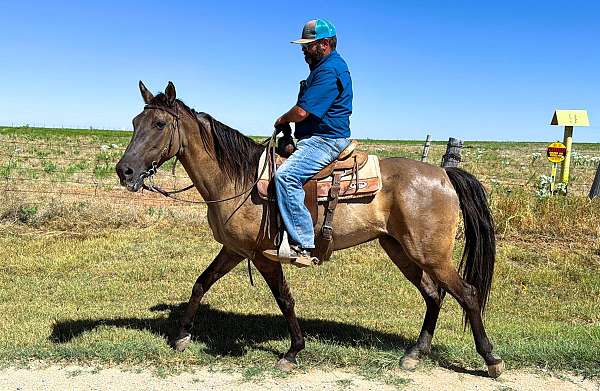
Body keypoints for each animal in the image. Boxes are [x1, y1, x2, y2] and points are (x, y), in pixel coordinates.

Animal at [115, 81, 504, 378]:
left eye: (160, 124)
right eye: (135, 121)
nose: (125, 171)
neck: (238, 180)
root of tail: (444, 175)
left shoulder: (264, 255)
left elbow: (284, 299)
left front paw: (293, 351)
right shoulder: (234, 250)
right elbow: (201, 283)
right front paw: (181, 336)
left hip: (430, 253)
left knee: (467, 294)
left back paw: (491, 359)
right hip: (400, 249)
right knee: (433, 294)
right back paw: (414, 353)